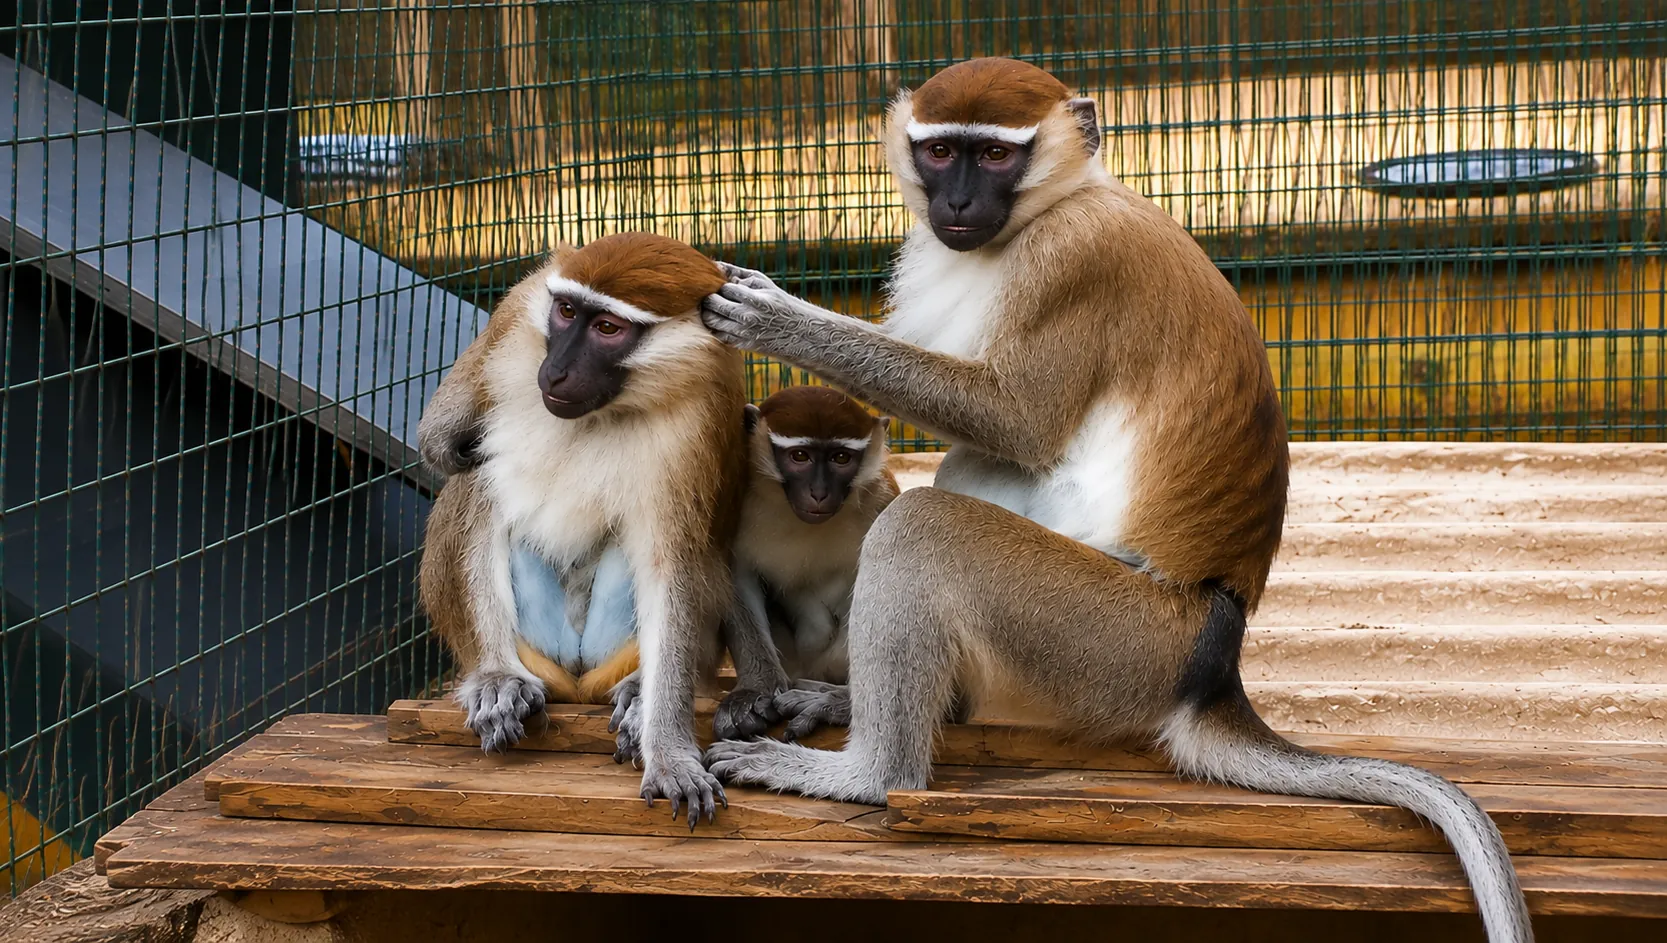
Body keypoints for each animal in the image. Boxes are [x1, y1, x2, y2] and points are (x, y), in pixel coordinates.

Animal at [417, 232, 743, 827]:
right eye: (567, 312)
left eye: (607, 328)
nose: (556, 372)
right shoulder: (517, 311)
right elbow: (440, 443)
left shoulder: (706, 403)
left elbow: (671, 566)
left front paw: (668, 750)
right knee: (480, 478)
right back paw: (496, 674)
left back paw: (637, 689)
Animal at [712, 386, 899, 742]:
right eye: (800, 456)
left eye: (841, 458)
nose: (819, 492)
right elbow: (733, 576)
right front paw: (754, 690)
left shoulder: (882, 500)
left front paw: (840, 705)